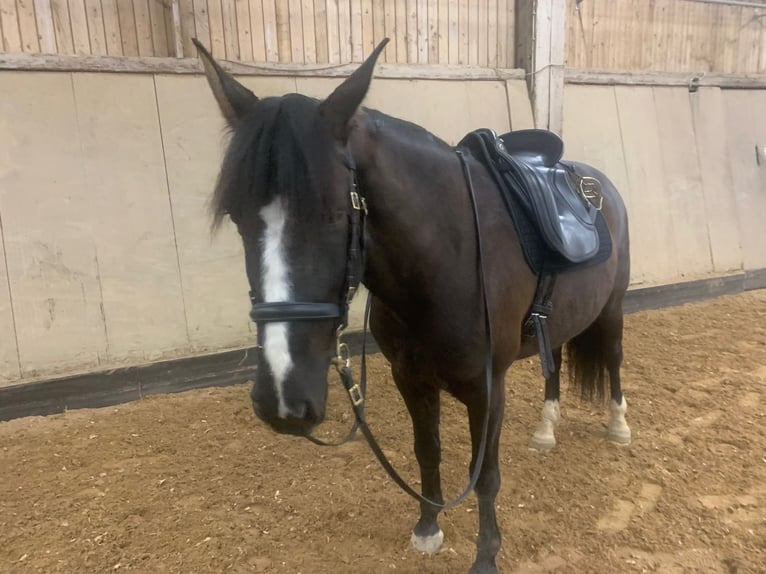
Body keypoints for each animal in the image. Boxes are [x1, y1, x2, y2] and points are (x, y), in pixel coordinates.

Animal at [195, 38, 632, 572]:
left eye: (336, 213)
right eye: (236, 216)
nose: (282, 399)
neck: (448, 260)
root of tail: (594, 182)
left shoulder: (488, 389)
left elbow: (485, 474)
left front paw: (486, 555)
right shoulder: (410, 378)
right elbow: (428, 451)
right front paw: (428, 528)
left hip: (612, 311)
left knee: (613, 360)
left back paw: (618, 425)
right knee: (557, 362)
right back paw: (547, 430)